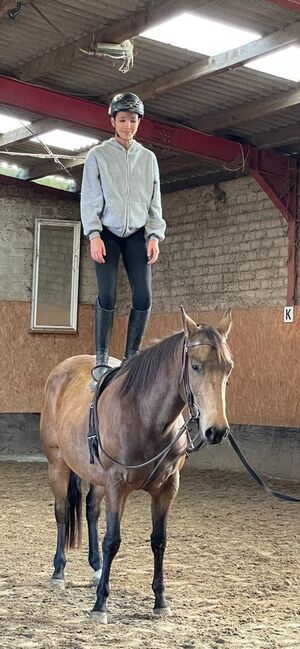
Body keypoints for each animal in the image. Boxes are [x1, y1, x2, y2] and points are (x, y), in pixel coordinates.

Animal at [39, 308, 233, 624]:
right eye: (195, 366)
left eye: (228, 368)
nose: (216, 430)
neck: (146, 415)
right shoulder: (118, 485)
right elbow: (112, 540)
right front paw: (100, 605)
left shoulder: (167, 488)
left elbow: (159, 541)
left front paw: (160, 601)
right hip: (58, 465)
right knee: (62, 512)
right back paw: (58, 572)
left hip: (98, 479)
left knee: (91, 510)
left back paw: (96, 568)